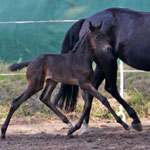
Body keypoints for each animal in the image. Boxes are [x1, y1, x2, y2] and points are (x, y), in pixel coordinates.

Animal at [1, 21, 129, 139]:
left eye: (104, 35)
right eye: (96, 37)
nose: (109, 48)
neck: (81, 58)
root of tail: (31, 61)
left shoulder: (84, 85)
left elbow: (87, 105)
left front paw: (73, 129)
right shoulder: (84, 84)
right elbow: (103, 100)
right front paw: (124, 125)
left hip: (51, 82)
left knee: (45, 98)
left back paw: (68, 123)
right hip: (35, 84)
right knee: (16, 101)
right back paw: (3, 132)